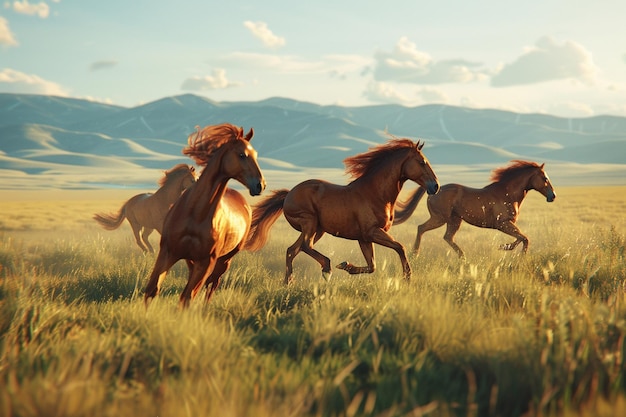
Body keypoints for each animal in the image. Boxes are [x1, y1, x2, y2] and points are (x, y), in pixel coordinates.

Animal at [144, 122, 266, 308]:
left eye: (256, 155)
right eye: (242, 155)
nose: (260, 185)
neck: (195, 214)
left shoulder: (206, 262)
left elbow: (187, 296)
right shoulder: (168, 252)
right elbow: (152, 290)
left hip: (224, 261)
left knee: (212, 286)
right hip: (190, 260)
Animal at [244, 138, 438, 284]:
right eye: (422, 162)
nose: (435, 186)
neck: (376, 194)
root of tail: (288, 194)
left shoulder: (364, 238)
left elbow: (372, 266)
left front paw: (346, 266)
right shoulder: (372, 232)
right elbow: (400, 247)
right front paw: (407, 277)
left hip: (317, 229)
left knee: (292, 250)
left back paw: (288, 282)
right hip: (310, 222)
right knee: (305, 246)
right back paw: (326, 269)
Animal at [394, 159, 556, 256]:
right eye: (545, 178)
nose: (552, 196)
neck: (508, 194)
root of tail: (434, 189)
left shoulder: (507, 224)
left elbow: (521, 237)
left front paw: (504, 247)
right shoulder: (502, 224)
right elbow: (524, 238)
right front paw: (518, 254)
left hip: (454, 220)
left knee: (448, 237)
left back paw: (463, 257)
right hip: (440, 218)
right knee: (421, 228)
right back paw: (414, 253)